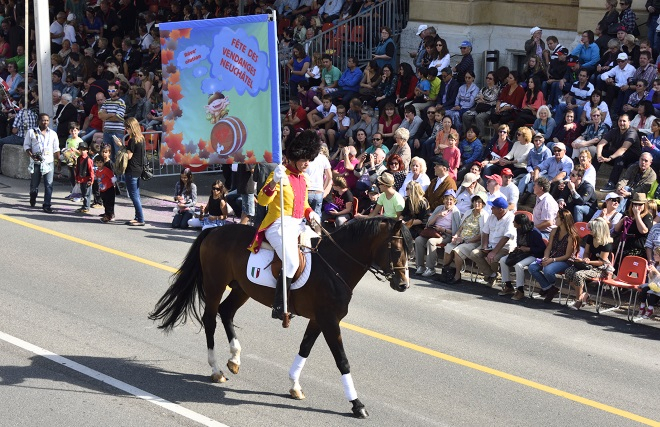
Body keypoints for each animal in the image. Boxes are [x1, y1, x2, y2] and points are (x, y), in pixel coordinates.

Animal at [150, 217, 412, 418]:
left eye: (409, 252)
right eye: (397, 250)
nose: (404, 285)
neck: (334, 266)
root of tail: (215, 229)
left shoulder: (319, 319)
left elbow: (305, 349)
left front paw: (295, 385)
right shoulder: (329, 320)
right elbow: (342, 361)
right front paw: (357, 404)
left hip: (242, 289)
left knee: (226, 312)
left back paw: (234, 358)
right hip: (215, 284)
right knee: (210, 319)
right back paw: (216, 370)